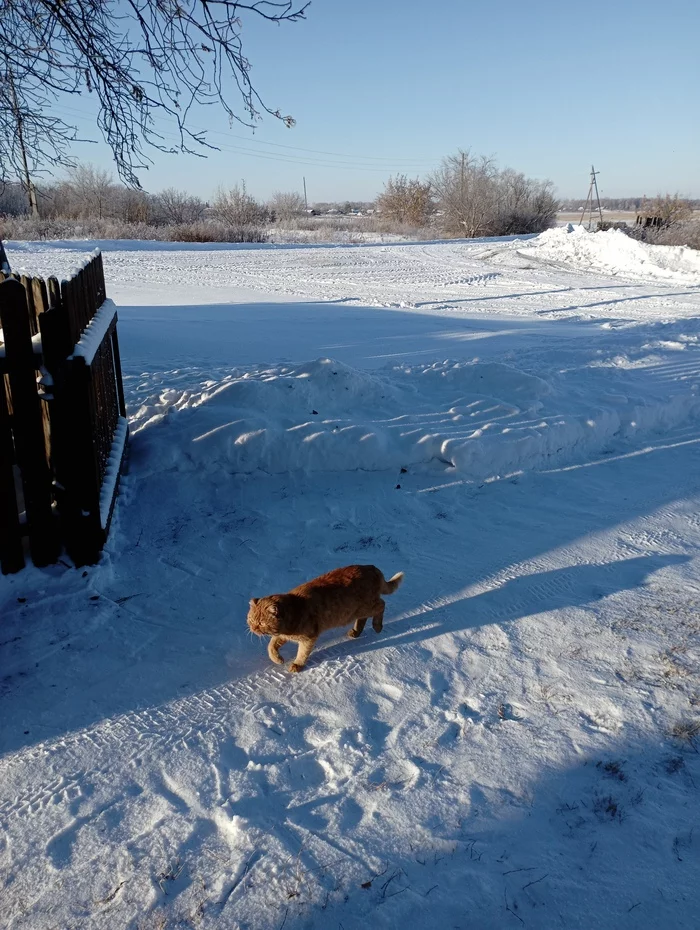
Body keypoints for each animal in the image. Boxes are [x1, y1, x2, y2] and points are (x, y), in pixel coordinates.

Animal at [249, 560, 404, 672]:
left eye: (261, 623)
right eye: (250, 620)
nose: (253, 628)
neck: (295, 607)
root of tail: (372, 568)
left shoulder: (308, 637)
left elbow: (302, 653)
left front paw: (297, 665)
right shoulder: (283, 635)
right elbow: (271, 645)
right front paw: (278, 659)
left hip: (367, 606)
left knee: (381, 605)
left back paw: (377, 626)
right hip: (359, 610)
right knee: (365, 616)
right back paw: (356, 631)